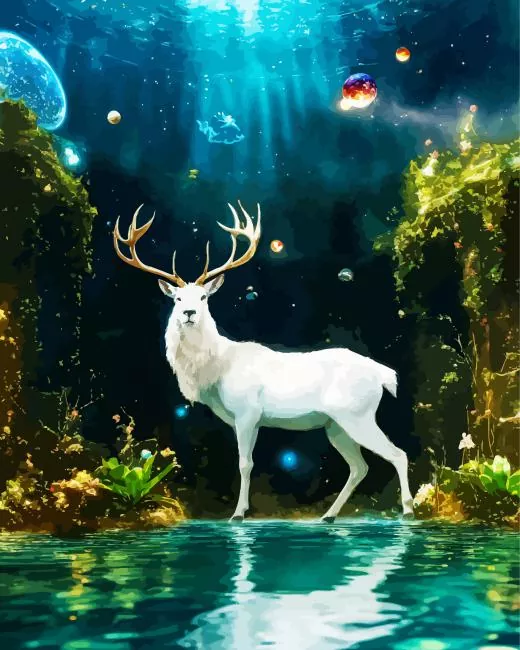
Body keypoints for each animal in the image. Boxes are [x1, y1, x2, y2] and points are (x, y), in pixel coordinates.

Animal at [113, 201, 414, 523]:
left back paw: (408, 509)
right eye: (178, 299)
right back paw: (329, 515)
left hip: (357, 415)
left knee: (397, 453)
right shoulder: (245, 419)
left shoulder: (247, 411)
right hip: (336, 425)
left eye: (204, 297)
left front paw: (238, 513)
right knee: (359, 466)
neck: (215, 371)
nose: (189, 313)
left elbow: (245, 463)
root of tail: (384, 375)